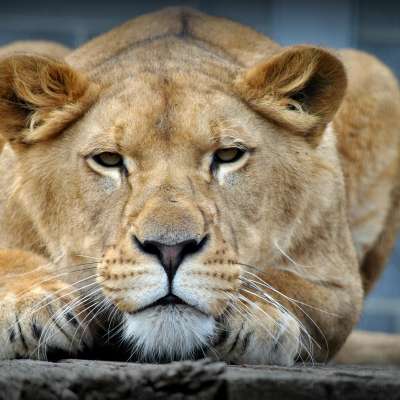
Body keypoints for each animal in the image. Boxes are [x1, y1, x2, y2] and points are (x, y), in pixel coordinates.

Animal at [0, 7, 399, 365]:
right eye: (109, 160)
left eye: (228, 155)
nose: (170, 250)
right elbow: (12, 260)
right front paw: (34, 304)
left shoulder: (341, 287)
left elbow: (293, 287)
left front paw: (260, 316)